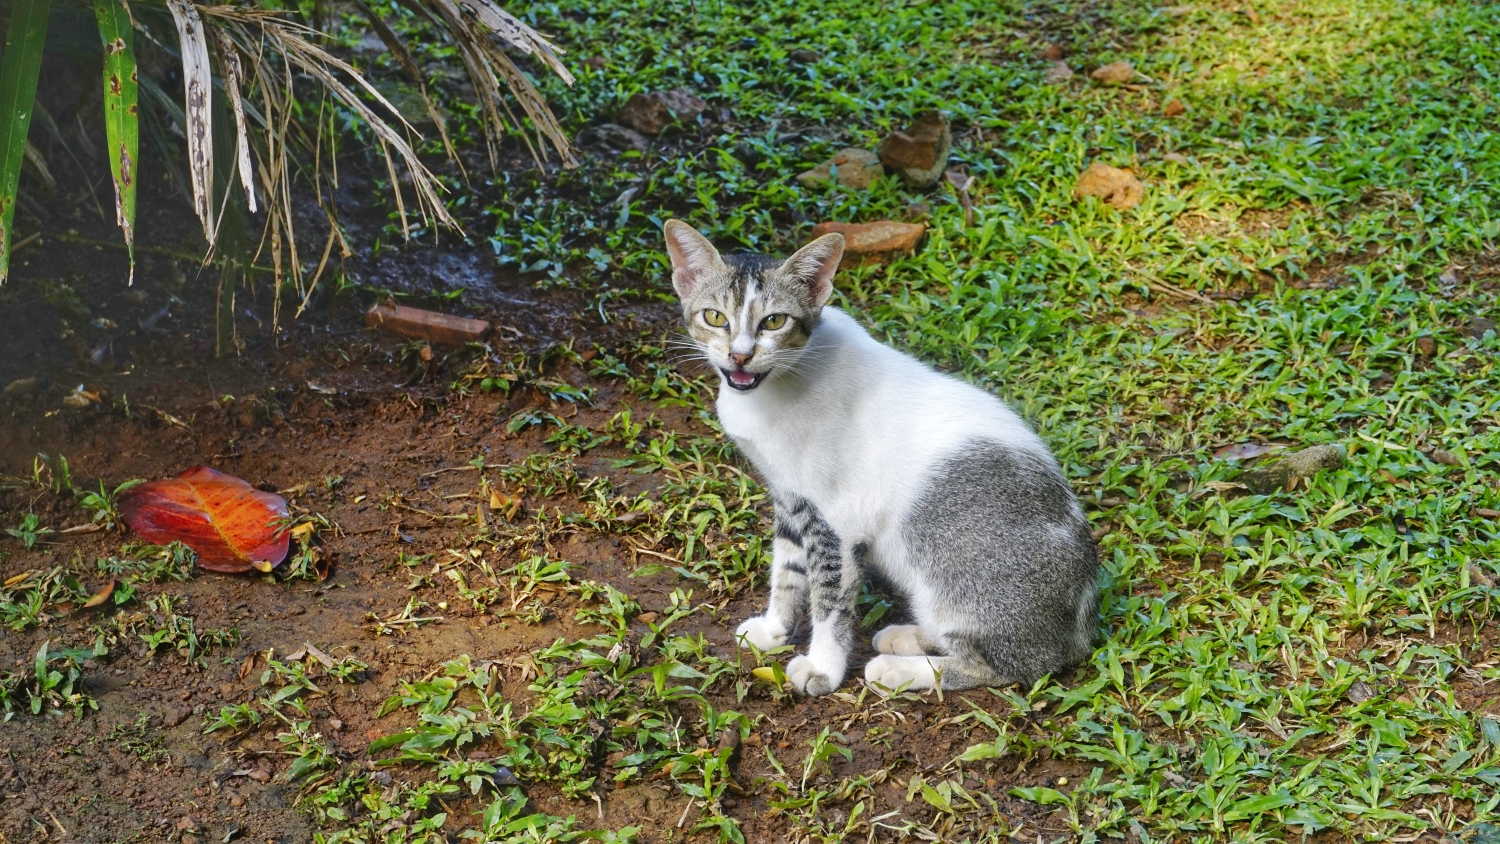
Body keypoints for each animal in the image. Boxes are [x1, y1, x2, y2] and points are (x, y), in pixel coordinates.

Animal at [663, 221, 1098, 695]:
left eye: (774, 321)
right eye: (714, 317)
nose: (740, 355)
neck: (772, 388)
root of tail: (1081, 629)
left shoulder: (840, 520)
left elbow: (829, 600)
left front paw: (823, 668)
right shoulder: (791, 498)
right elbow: (787, 570)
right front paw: (774, 629)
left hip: (949, 573)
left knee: (1009, 666)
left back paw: (899, 668)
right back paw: (908, 637)